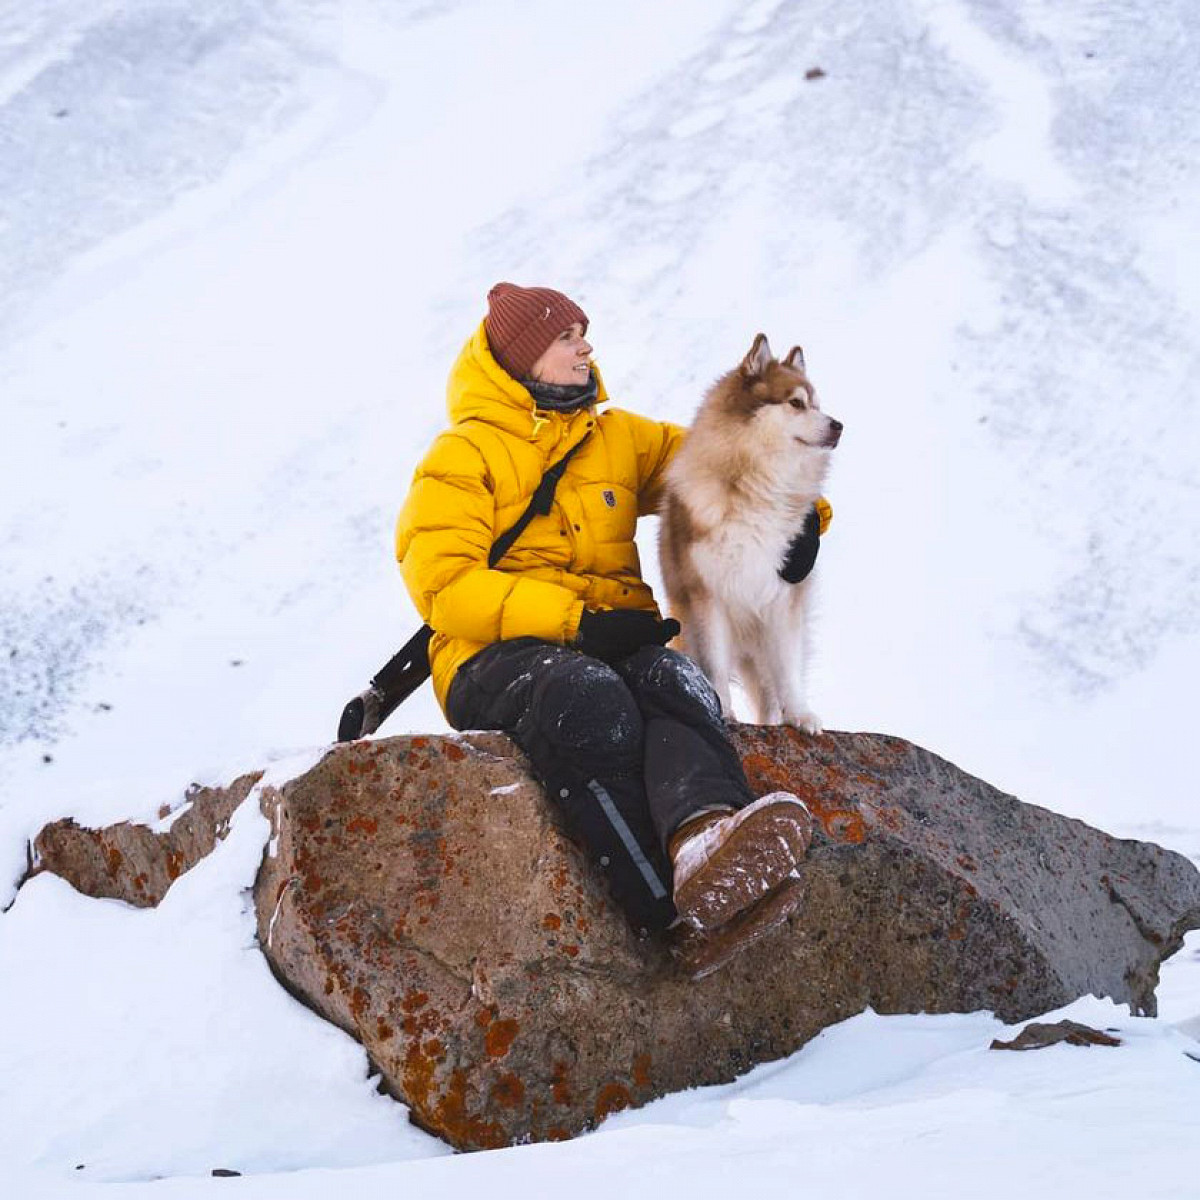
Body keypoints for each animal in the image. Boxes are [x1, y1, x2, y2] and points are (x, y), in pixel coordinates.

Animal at [657, 338, 844, 729]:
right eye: (796, 403)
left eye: (817, 404)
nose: (839, 425)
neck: (759, 488)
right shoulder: (708, 597)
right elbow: (714, 663)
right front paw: (723, 711)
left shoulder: (783, 597)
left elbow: (787, 671)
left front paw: (800, 714)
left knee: (770, 693)